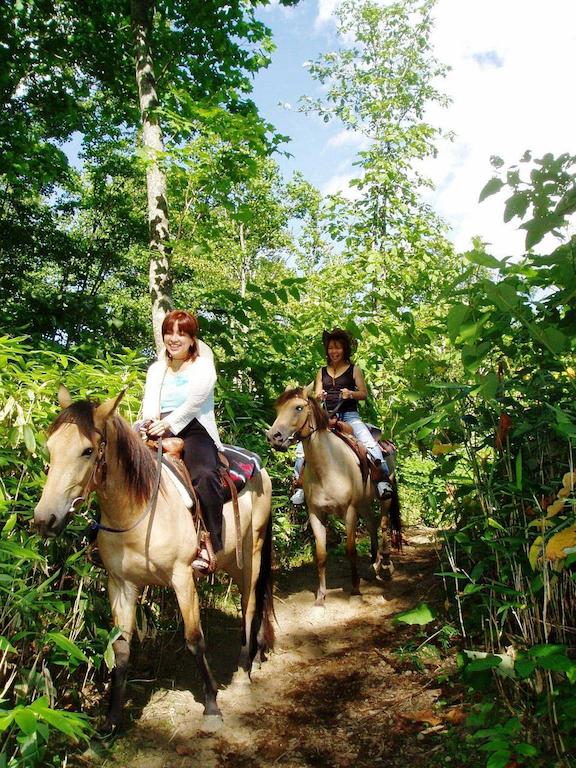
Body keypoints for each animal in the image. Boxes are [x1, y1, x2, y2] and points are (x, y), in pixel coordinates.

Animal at [35, 388, 274, 728]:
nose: (45, 519)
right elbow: (120, 648)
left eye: (87, 450)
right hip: (230, 559)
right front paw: (112, 719)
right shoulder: (120, 584)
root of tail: (259, 467)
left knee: (250, 605)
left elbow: (194, 638)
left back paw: (244, 670)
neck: (138, 509)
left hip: (252, 554)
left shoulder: (182, 577)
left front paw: (212, 704)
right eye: (50, 447)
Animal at [264, 388, 396, 608]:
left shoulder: (349, 511)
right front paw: (321, 597)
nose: (274, 436)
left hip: (384, 497)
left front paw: (355, 590)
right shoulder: (316, 513)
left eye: (298, 408)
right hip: (363, 502)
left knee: (384, 524)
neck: (327, 468)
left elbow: (350, 550)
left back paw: (385, 564)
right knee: (371, 525)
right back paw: (373, 564)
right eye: (278, 409)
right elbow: (321, 555)